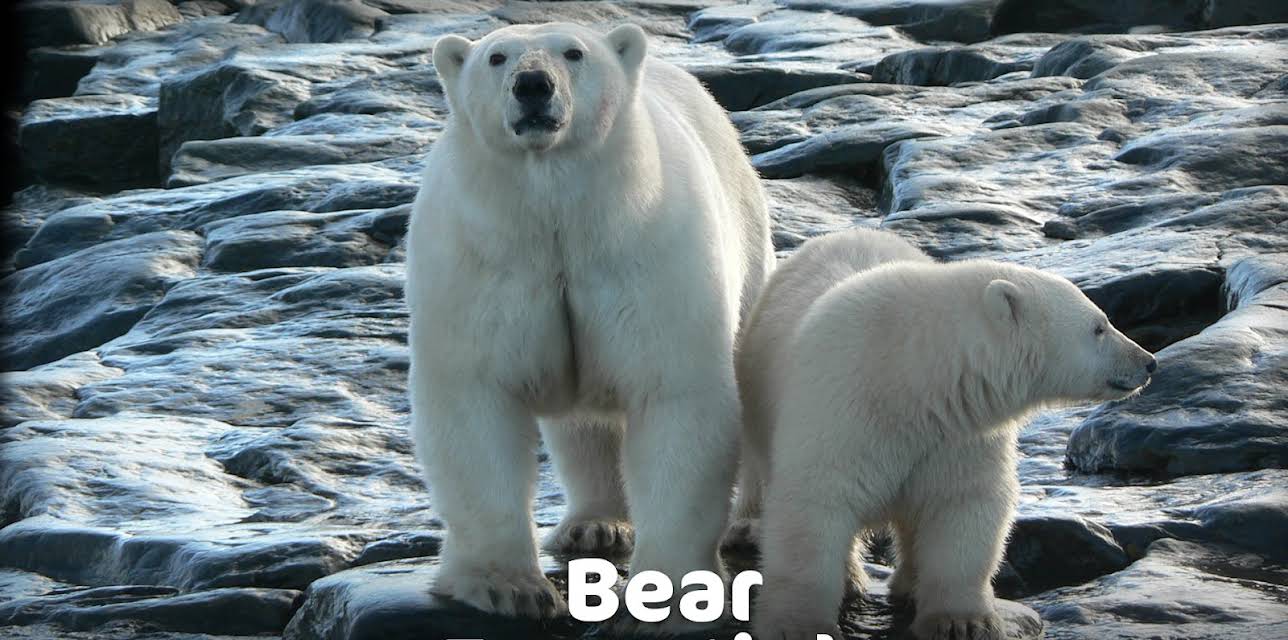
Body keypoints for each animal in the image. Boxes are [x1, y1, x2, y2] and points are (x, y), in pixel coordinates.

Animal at [405, 22, 773, 621]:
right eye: (496, 57)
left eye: (574, 52)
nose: (533, 84)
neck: (558, 217)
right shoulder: (483, 262)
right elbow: (475, 402)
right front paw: (507, 587)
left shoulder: (648, 251)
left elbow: (674, 394)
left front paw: (676, 589)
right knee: (583, 426)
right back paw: (594, 525)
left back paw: (754, 524)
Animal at [740, 230, 1155, 640]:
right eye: (1099, 327)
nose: (1148, 361)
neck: (911, 373)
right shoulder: (843, 410)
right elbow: (814, 505)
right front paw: (798, 624)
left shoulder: (959, 429)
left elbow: (963, 504)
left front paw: (961, 621)